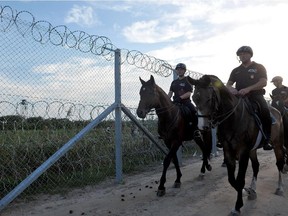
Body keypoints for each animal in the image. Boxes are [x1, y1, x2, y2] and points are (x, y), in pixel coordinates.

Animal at [188, 74, 286, 216]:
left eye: (209, 98)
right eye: (194, 98)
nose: (202, 127)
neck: (233, 118)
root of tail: (278, 112)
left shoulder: (243, 152)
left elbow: (239, 180)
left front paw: (237, 206)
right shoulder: (228, 152)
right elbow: (232, 180)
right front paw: (245, 191)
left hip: (277, 144)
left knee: (279, 163)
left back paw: (280, 187)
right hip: (253, 150)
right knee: (256, 166)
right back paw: (253, 189)